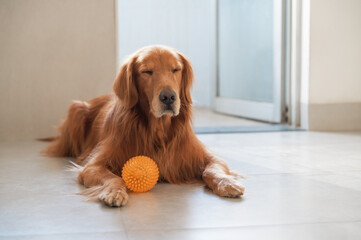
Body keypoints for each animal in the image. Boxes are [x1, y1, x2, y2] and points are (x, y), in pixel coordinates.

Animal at [43, 46, 243, 207]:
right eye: (147, 71)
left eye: (175, 69)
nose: (168, 97)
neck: (158, 130)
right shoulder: (92, 166)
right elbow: (114, 177)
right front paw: (114, 192)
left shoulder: (208, 157)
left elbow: (212, 169)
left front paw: (228, 183)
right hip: (76, 109)